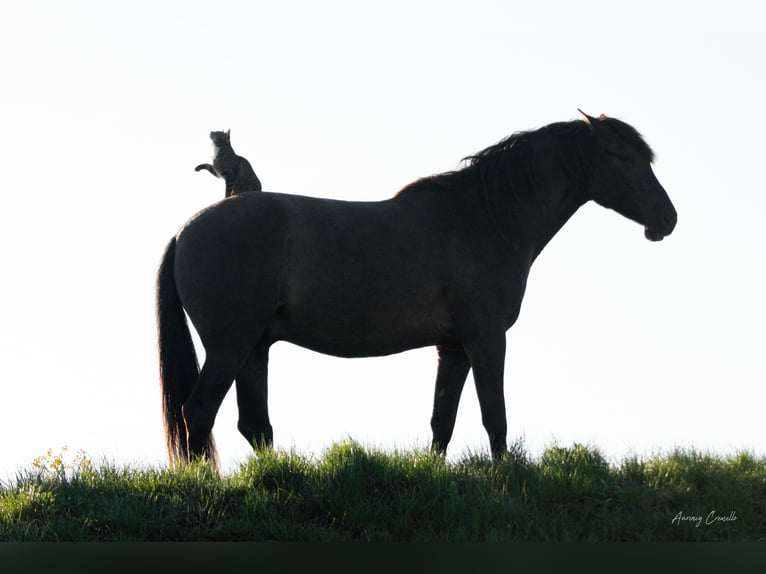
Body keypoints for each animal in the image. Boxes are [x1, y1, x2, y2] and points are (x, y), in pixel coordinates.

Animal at [154, 111, 680, 468]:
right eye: (623, 156)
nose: (667, 218)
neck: (485, 218)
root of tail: (184, 231)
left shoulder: (454, 347)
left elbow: (442, 420)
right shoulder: (487, 339)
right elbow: (495, 416)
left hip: (254, 347)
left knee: (253, 424)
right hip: (229, 347)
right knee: (197, 413)